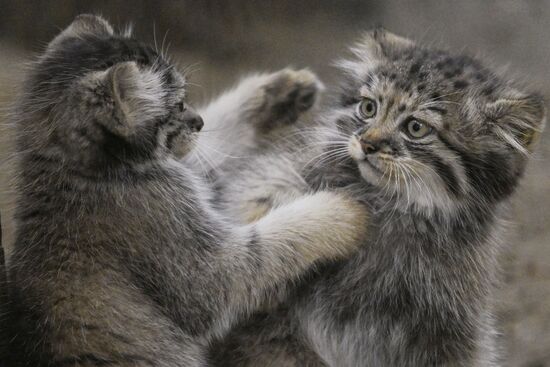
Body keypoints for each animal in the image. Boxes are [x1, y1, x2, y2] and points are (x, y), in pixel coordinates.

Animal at [3, 15, 370, 366]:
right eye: (178, 104)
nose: (198, 122)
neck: (74, 168)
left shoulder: (190, 173)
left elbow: (216, 141)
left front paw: (280, 92)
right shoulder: (206, 272)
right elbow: (273, 239)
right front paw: (340, 211)